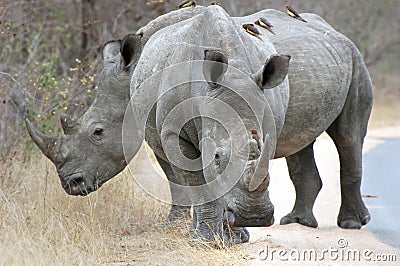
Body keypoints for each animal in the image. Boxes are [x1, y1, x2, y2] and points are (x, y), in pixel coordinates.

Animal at [27, 5, 372, 244]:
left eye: (97, 132)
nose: (71, 184)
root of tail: (331, 30)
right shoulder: (165, 130)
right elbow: (186, 180)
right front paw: (195, 231)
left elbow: (189, 178)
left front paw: (219, 235)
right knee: (302, 144)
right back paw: (297, 222)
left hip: (354, 57)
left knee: (349, 136)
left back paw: (351, 224)